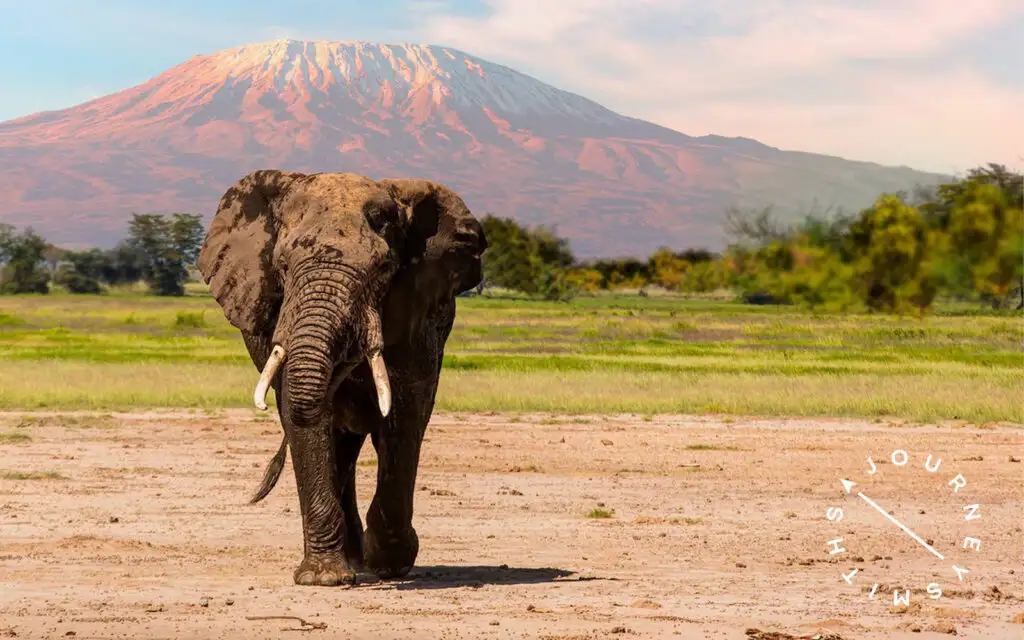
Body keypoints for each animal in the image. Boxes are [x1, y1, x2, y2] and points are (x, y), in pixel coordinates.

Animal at [200, 168, 491, 585]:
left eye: (383, 270)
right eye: (282, 267)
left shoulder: (418, 313)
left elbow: (404, 413)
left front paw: (389, 562)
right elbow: (300, 407)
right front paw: (323, 579)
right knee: (339, 441)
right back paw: (351, 558)